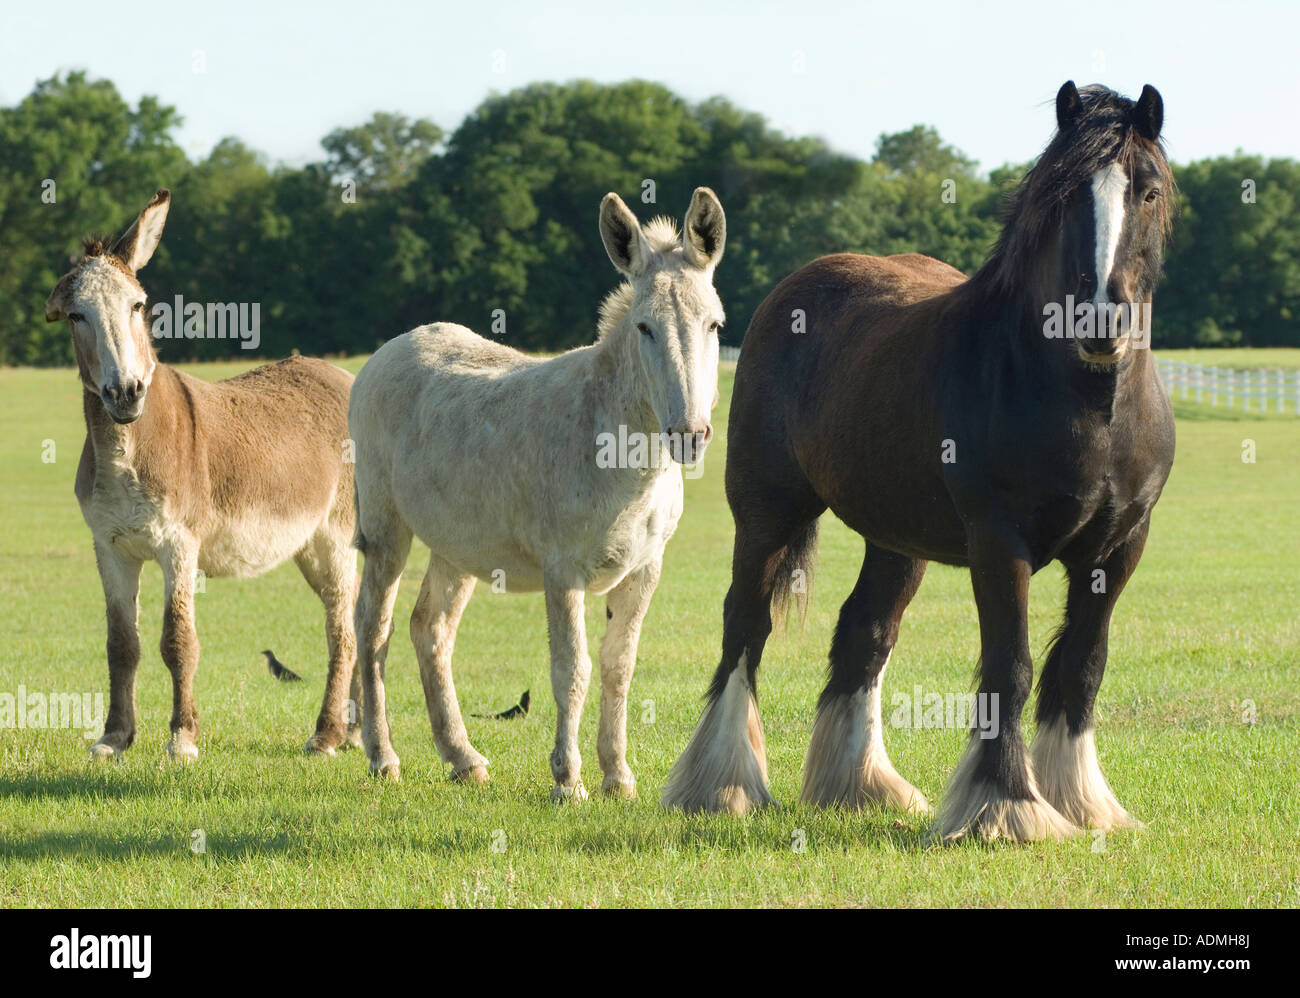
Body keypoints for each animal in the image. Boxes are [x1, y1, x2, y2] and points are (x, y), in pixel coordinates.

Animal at [45, 190, 361, 762]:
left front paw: (183, 738)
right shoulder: (110, 547)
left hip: (336, 538)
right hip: (307, 546)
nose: (126, 393)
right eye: (77, 315)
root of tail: (341, 375)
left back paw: (326, 735)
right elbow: (121, 644)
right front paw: (114, 738)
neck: (126, 448)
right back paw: (352, 731)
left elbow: (178, 641)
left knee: (342, 634)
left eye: (138, 306)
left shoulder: (179, 544)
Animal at [345, 188, 726, 800]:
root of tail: (388, 350)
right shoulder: (562, 570)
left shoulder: (646, 568)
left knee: (430, 630)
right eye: (644, 327)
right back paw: (383, 757)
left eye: (715, 324)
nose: (689, 434)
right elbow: (572, 670)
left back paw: (463, 758)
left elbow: (619, 667)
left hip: (457, 545)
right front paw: (568, 782)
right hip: (386, 529)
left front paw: (618, 777)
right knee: (372, 629)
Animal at [662, 82, 1176, 843]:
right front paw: (1009, 808)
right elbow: (1011, 667)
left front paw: (1083, 803)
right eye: (1063, 197)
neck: (1090, 406)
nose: (1098, 320)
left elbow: (1081, 667)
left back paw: (861, 785)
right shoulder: (1000, 543)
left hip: (896, 539)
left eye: (1147, 190)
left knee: (864, 634)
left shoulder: (1121, 547)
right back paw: (723, 786)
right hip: (766, 514)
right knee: (744, 628)